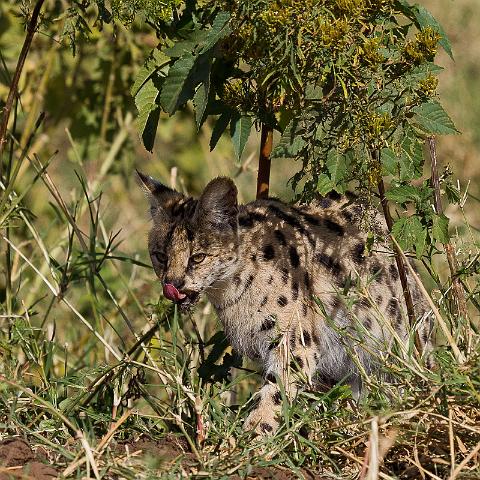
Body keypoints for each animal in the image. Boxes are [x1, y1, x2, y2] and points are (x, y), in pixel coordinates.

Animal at [137, 173, 434, 436]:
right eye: (160, 256)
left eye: (197, 257)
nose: (172, 285)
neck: (231, 287)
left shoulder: (295, 344)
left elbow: (275, 394)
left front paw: (252, 439)